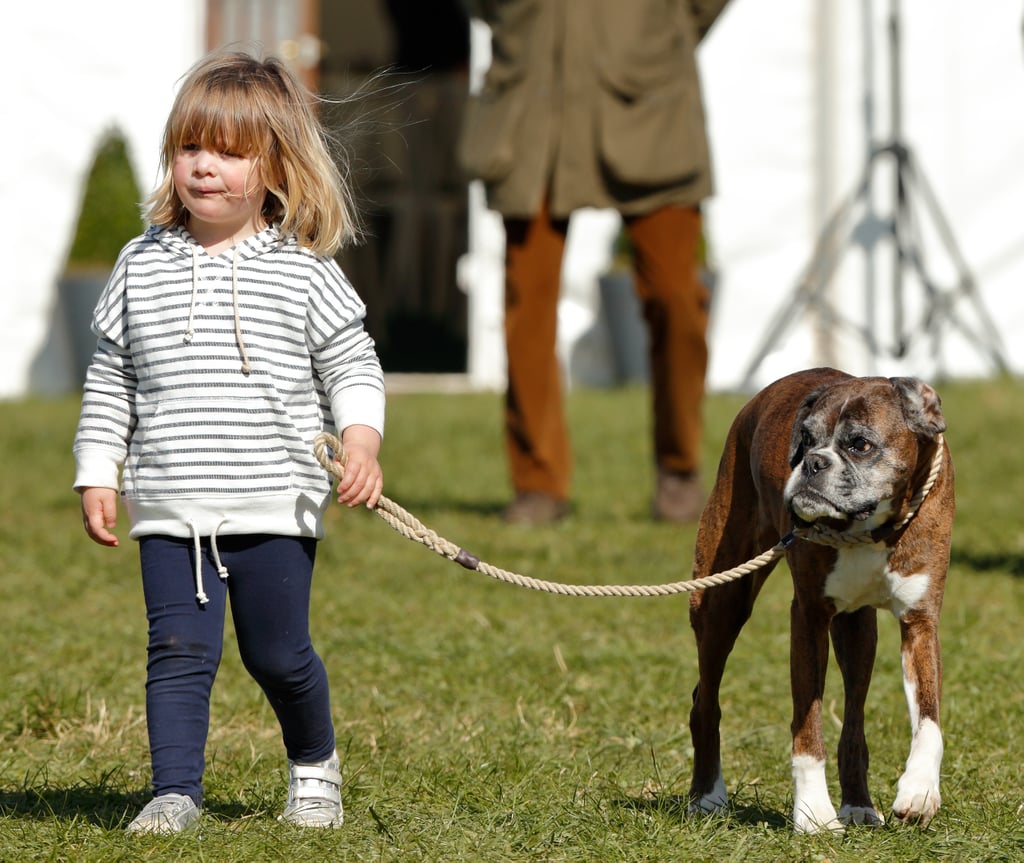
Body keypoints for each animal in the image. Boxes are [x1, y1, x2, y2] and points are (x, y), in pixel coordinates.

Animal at [684, 368, 954, 835]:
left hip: (857, 632)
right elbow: (807, 728)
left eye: (860, 445)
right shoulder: (808, 619)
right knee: (706, 701)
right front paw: (813, 814)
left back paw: (859, 804)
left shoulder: (920, 623)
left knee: (853, 722)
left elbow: (929, 719)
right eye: (806, 439)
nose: (812, 463)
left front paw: (919, 791)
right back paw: (707, 796)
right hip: (721, 602)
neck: (872, 528)